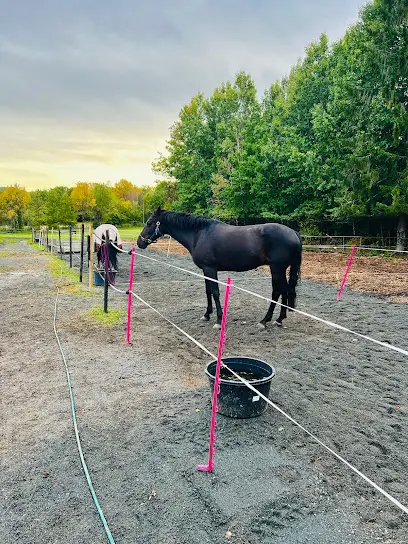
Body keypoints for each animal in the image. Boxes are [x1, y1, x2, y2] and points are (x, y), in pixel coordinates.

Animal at [139, 207, 302, 328]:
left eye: (149, 222)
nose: (139, 242)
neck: (199, 234)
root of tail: (294, 232)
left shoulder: (210, 269)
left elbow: (215, 292)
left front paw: (218, 320)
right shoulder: (205, 270)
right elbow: (208, 291)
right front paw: (206, 315)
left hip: (276, 269)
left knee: (277, 292)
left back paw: (264, 321)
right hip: (281, 270)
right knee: (285, 290)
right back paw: (279, 319)